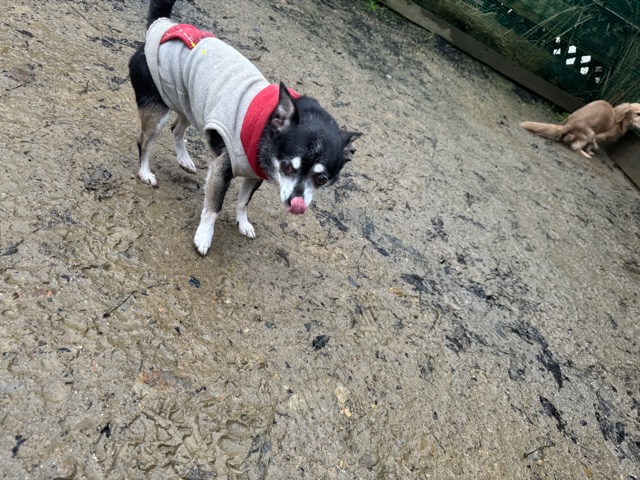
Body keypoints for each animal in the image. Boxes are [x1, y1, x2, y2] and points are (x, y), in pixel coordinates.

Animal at [128, 0, 361, 255]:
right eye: (287, 167)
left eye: (321, 179)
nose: (295, 202)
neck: (266, 130)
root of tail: (164, 25)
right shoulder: (222, 169)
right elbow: (214, 207)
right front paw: (204, 236)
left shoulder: (254, 174)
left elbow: (243, 200)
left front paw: (243, 221)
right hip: (158, 109)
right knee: (145, 142)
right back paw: (145, 172)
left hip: (188, 102)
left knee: (177, 129)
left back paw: (184, 159)